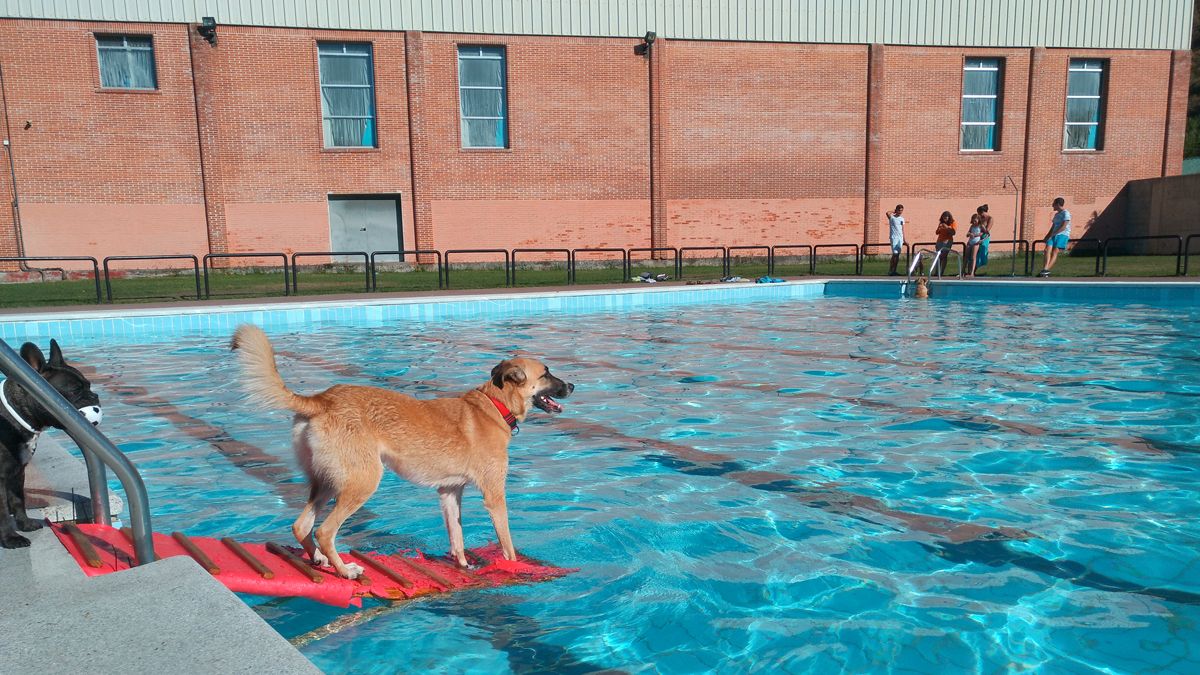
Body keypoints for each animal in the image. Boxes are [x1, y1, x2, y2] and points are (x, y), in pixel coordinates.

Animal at [0, 341, 102, 547]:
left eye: (89, 385)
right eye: (74, 390)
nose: (94, 396)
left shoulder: (18, 471)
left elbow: (17, 500)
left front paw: (24, 524)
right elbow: (4, 512)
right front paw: (11, 538)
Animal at [232, 324, 576, 576]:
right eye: (546, 373)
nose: (572, 386)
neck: (494, 405)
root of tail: (321, 399)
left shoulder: (449, 492)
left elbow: (457, 537)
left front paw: (463, 567)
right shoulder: (494, 495)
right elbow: (507, 544)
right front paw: (515, 567)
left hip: (328, 481)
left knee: (301, 525)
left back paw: (321, 560)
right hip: (362, 482)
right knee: (325, 531)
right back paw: (345, 571)